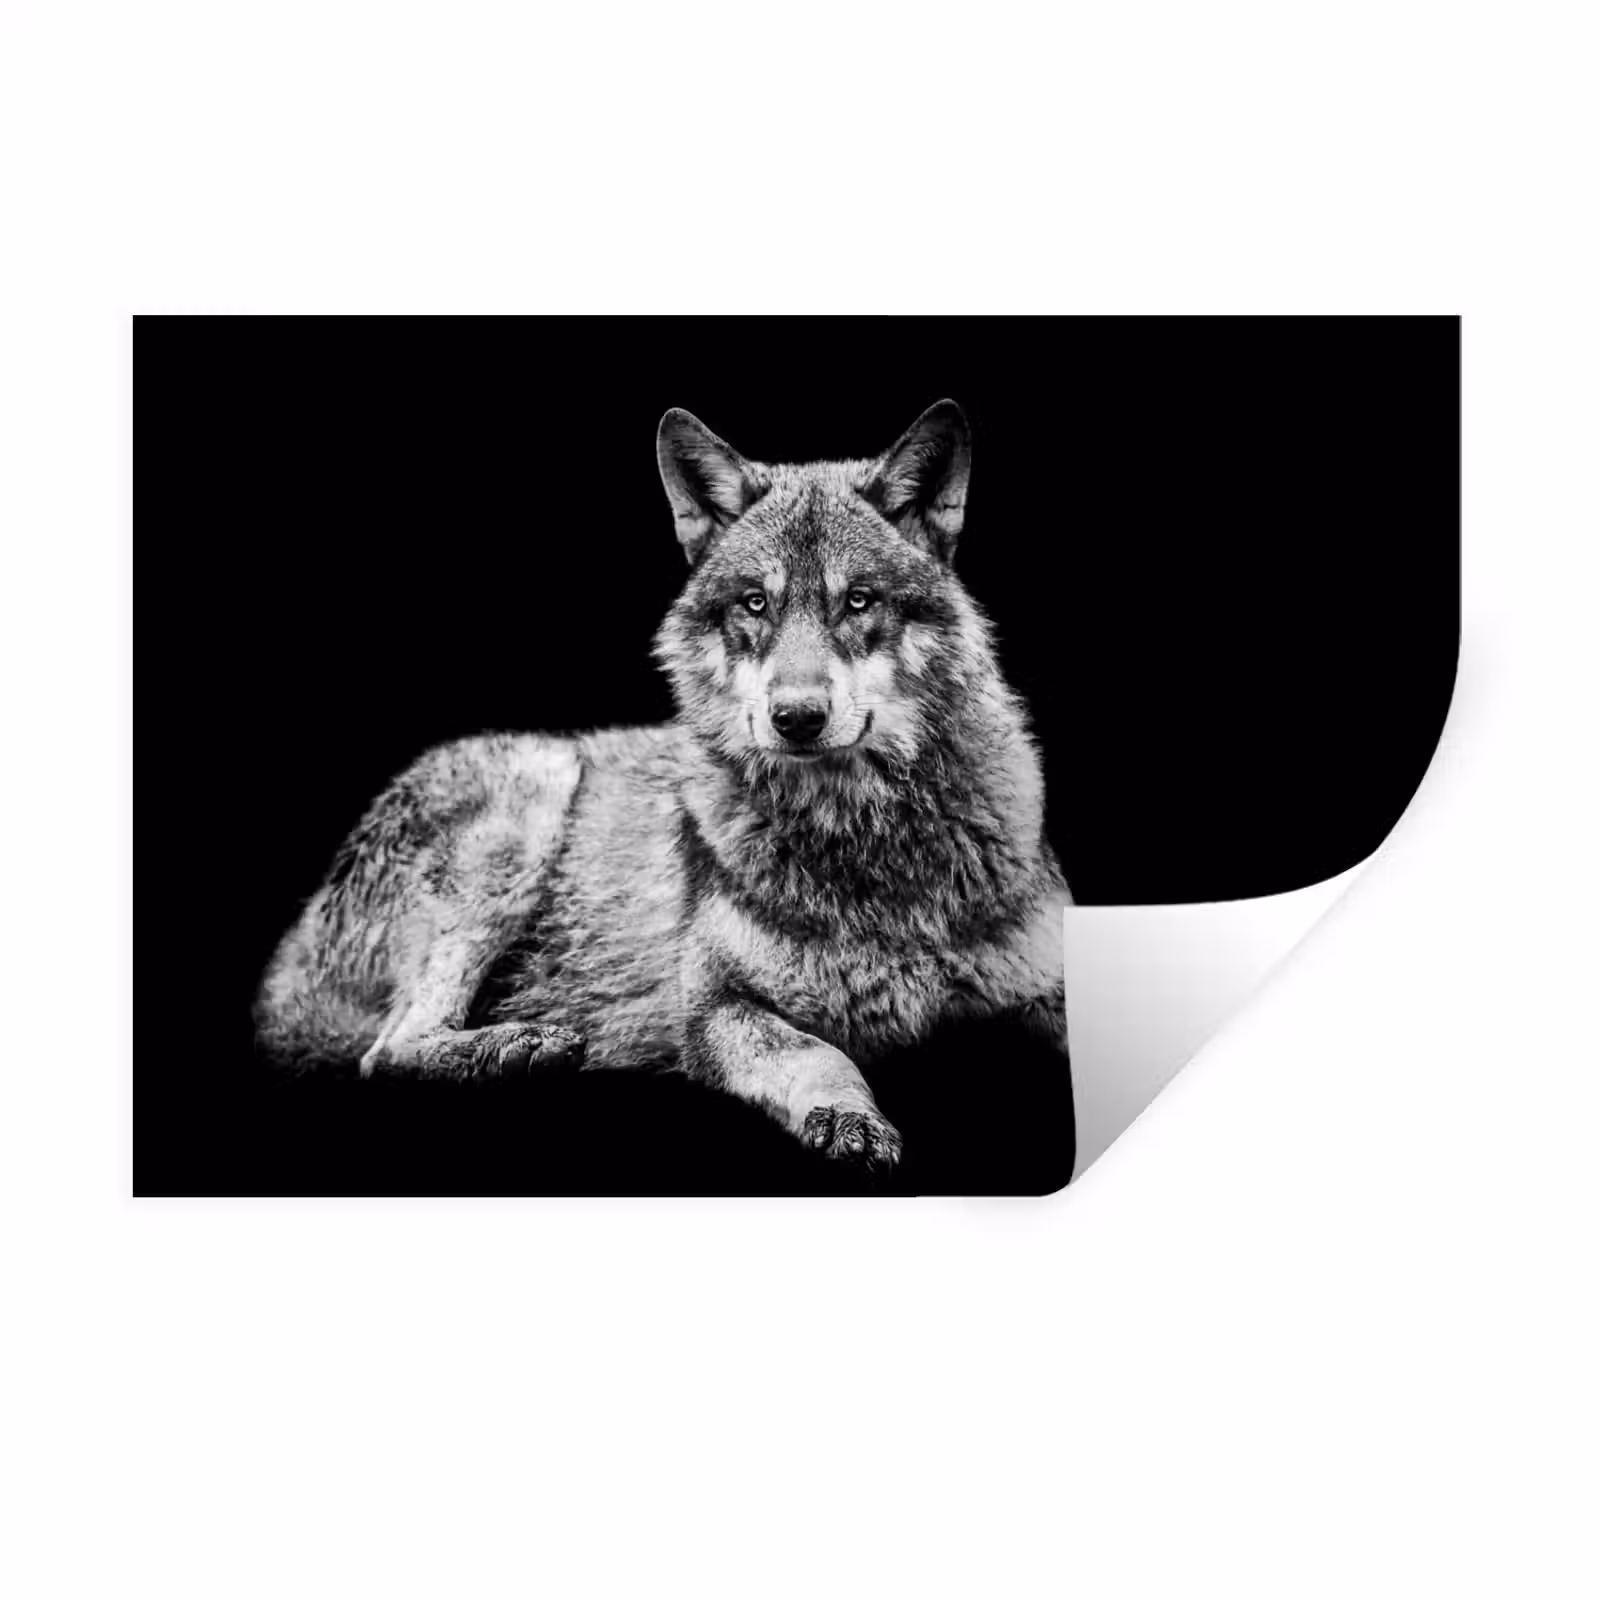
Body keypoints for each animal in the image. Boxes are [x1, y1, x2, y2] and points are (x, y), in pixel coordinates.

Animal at [254, 401, 1072, 1171]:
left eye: (859, 601)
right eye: (755, 604)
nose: (796, 718)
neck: (866, 841)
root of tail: (292, 952)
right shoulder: (713, 1008)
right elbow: (818, 1054)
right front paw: (848, 1120)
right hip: (535, 791)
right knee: (385, 1051)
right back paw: (517, 1047)